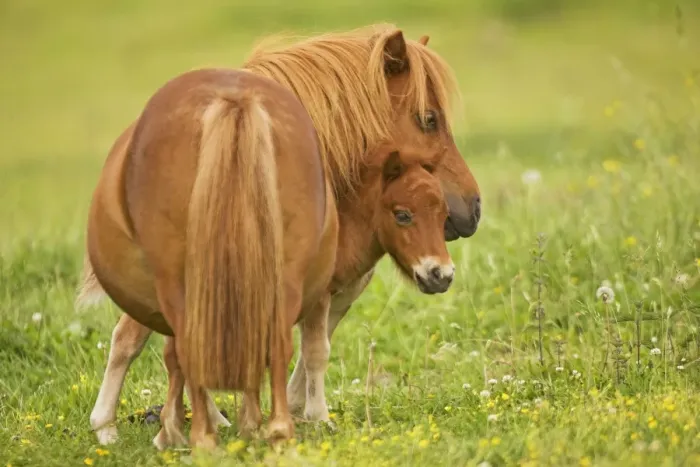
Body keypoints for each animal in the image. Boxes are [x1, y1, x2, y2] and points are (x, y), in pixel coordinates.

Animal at [79, 24, 481, 445]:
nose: (472, 210)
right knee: (134, 337)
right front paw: (313, 417)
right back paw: (111, 428)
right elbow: (311, 346)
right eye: (428, 119)